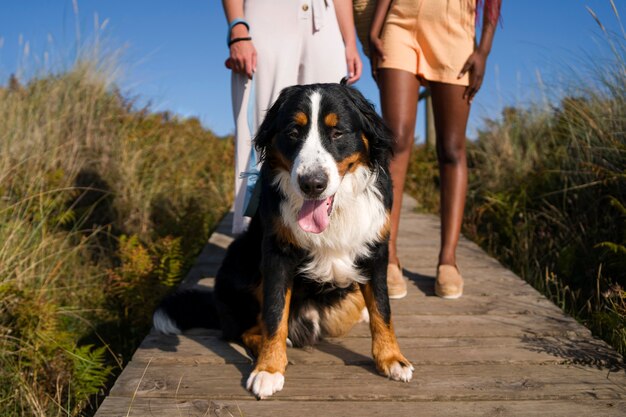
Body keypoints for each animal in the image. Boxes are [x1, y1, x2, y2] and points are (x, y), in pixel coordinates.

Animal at [153, 81, 412, 396]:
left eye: (337, 132)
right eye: (293, 132)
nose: (312, 184)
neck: (335, 212)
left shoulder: (375, 251)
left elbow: (382, 309)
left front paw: (392, 358)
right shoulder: (277, 254)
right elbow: (275, 313)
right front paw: (269, 368)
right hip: (239, 258)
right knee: (242, 329)